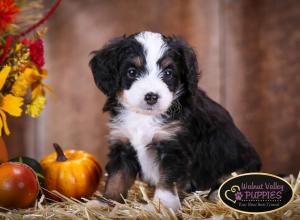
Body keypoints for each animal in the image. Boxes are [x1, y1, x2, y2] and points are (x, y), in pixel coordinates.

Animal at [88, 30, 260, 210]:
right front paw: (105, 203)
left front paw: (162, 206)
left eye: (168, 73)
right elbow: (116, 179)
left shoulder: (174, 149)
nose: (151, 97)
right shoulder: (122, 145)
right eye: (132, 72)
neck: (144, 117)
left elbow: (167, 182)